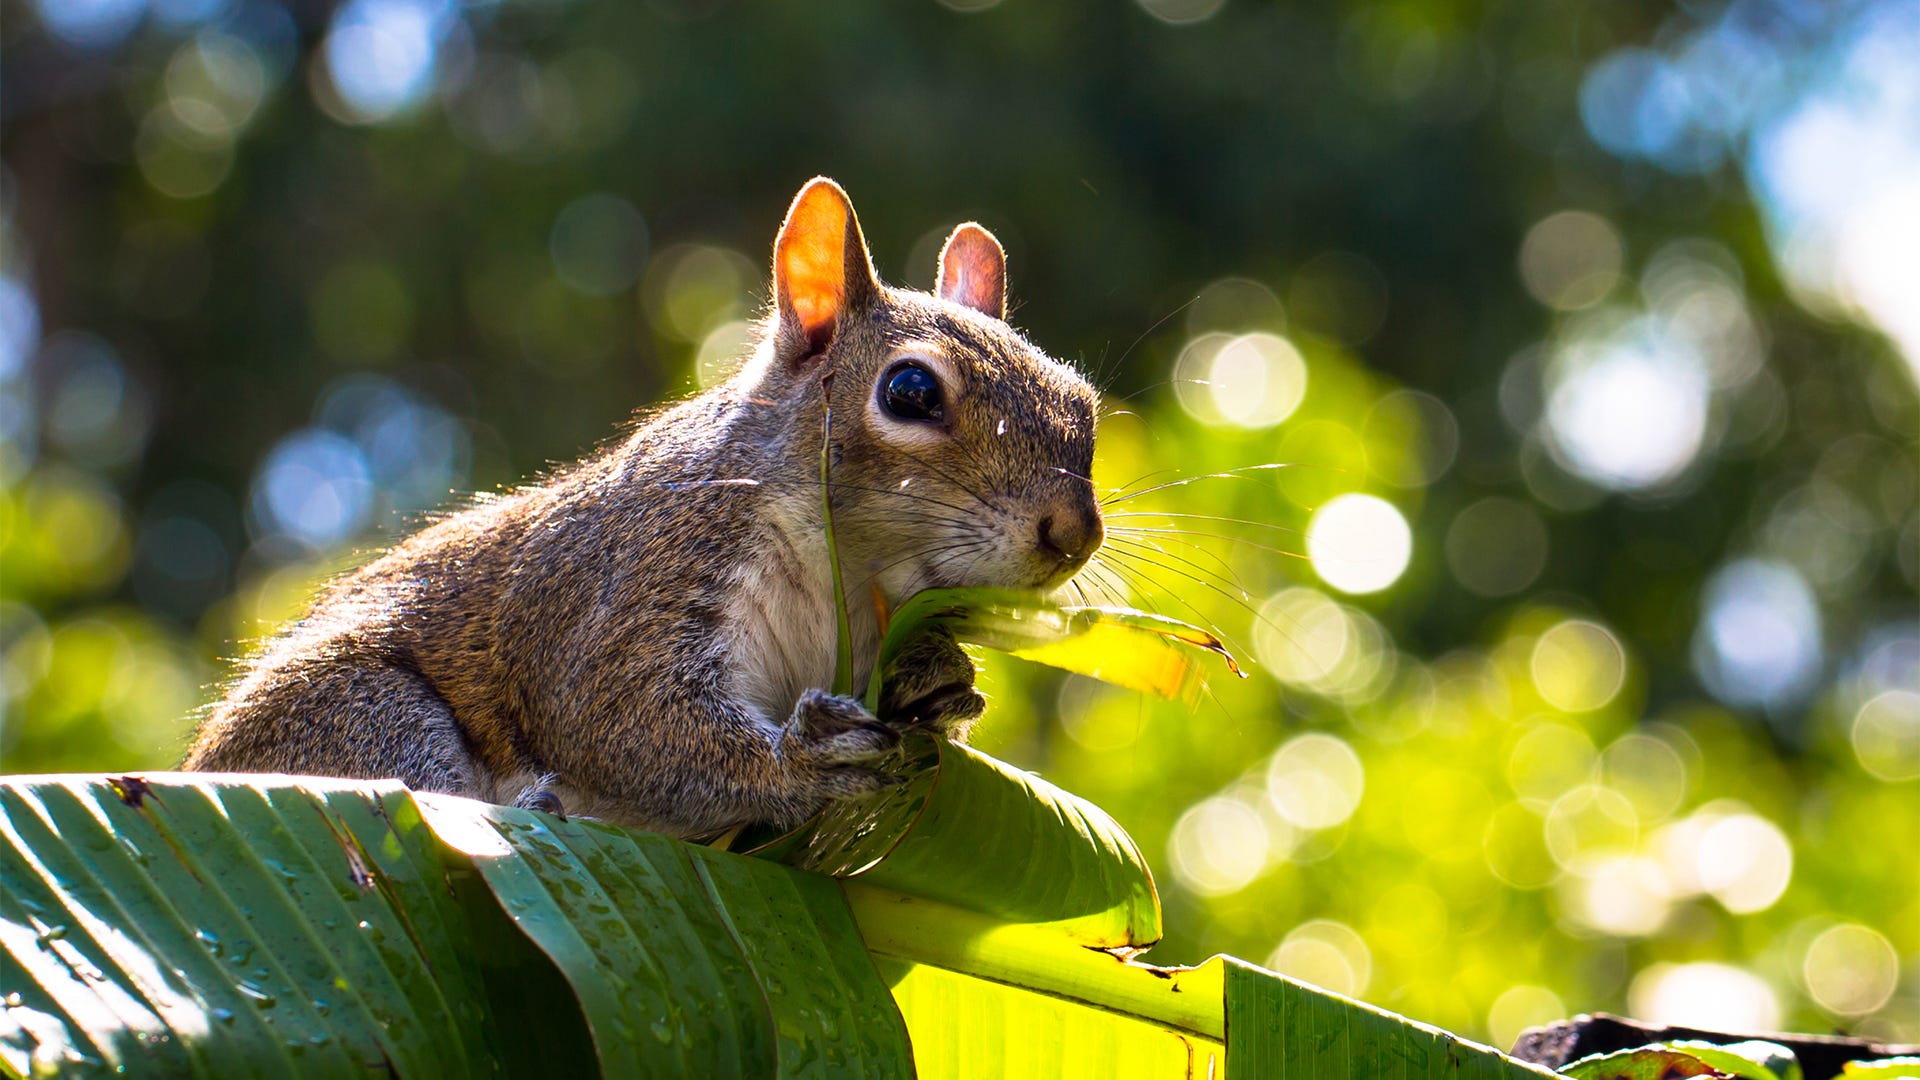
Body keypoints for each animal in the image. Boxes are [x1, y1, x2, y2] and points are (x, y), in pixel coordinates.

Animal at [183, 176, 1113, 837]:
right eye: (910, 390)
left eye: (1083, 401)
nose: (1074, 533)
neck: (850, 573)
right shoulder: (644, 572)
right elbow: (618, 717)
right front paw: (798, 766)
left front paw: (939, 681)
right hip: (348, 712)